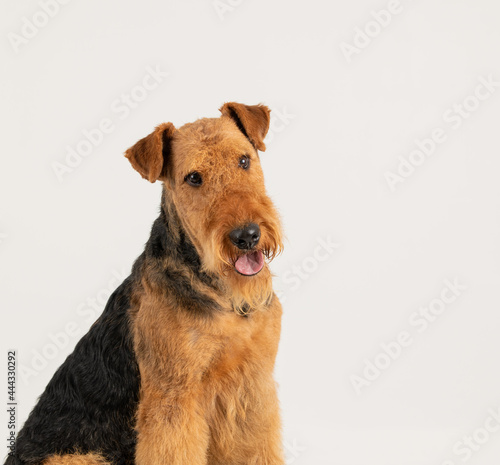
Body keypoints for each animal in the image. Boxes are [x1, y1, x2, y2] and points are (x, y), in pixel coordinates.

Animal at [7, 103, 288, 464]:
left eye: (243, 160)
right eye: (193, 178)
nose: (247, 236)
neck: (223, 296)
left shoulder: (252, 386)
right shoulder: (173, 396)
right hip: (75, 457)